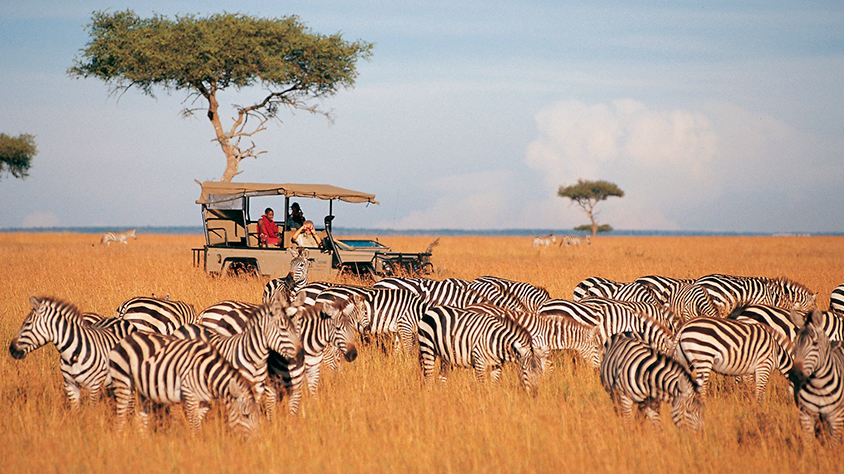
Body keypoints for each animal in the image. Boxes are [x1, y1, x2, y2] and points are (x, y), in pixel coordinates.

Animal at [8, 296, 137, 412]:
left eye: (27, 323)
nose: (11, 349)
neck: (73, 355)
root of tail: (121, 319)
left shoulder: (94, 386)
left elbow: (92, 410)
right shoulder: (70, 385)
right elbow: (75, 411)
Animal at [109, 332, 260, 436]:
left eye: (256, 416)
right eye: (245, 415)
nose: (256, 441)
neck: (207, 372)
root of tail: (126, 338)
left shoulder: (204, 402)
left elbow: (197, 423)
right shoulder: (189, 394)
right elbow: (194, 426)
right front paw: (195, 448)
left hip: (143, 391)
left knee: (140, 419)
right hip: (123, 382)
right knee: (120, 418)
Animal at [416, 304, 548, 392]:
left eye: (539, 371)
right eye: (524, 370)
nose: (534, 394)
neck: (497, 341)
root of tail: (433, 309)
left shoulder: (496, 365)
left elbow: (494, 384)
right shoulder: (479, 361)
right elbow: (482, 386)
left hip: (445, 355)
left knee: (441, 377)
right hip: (427, 348)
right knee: (428, 377)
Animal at [788, 312, 844, 440]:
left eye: (815, 343)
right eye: (795, 343)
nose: (794, 375)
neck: (818, 385)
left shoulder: (836, 418)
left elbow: (834, 443)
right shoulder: (805, 416)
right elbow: (809, 442)